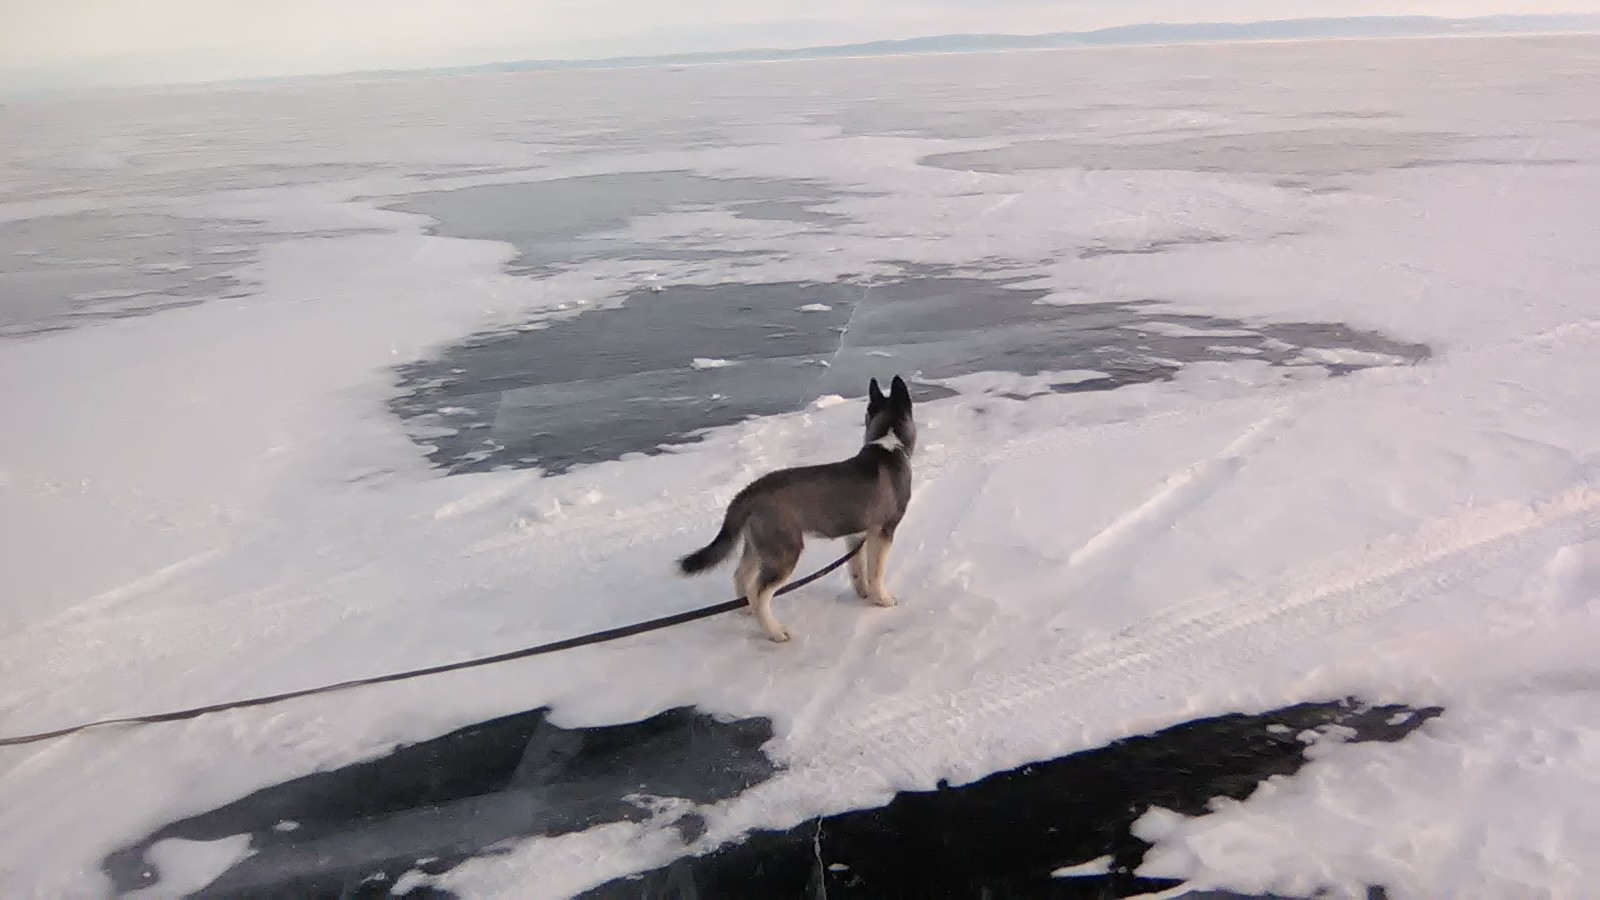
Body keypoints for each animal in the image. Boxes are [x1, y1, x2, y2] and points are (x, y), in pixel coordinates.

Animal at [681, 374, 921, 640]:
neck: (889, 445)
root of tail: (749, 491)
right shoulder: (884, 530)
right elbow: (877, 571)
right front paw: (883, 599)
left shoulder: (856, 534)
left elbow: (857, 569)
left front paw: (864, 594)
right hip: (785, 550)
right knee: (759, 592)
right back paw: (775, 632)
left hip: (759, 545)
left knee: (741, 576)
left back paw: (747, 610)